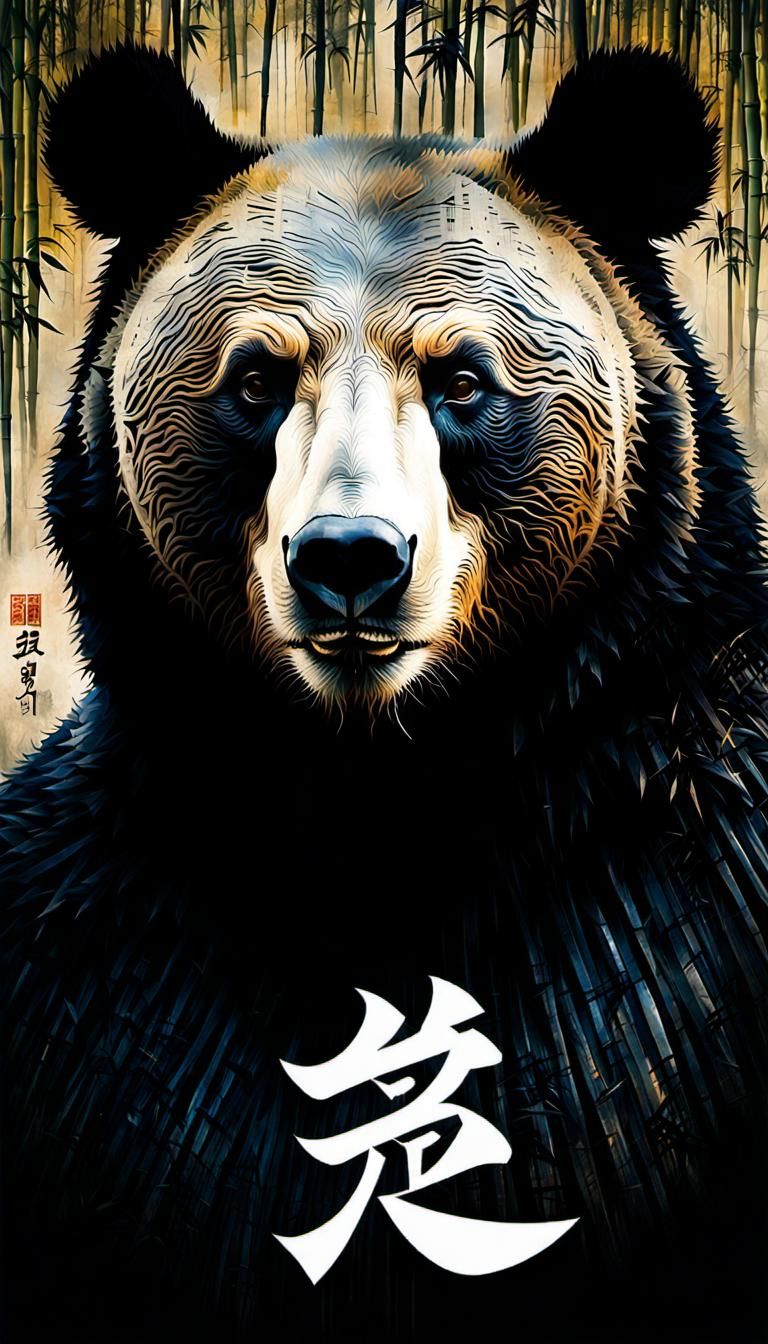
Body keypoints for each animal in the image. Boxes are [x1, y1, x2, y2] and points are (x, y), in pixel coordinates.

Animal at [2, 41, 768, 1344]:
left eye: (461, 380)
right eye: (256, 381)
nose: (350, 558)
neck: (380, 788)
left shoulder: (667, 900)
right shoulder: (100, 954)